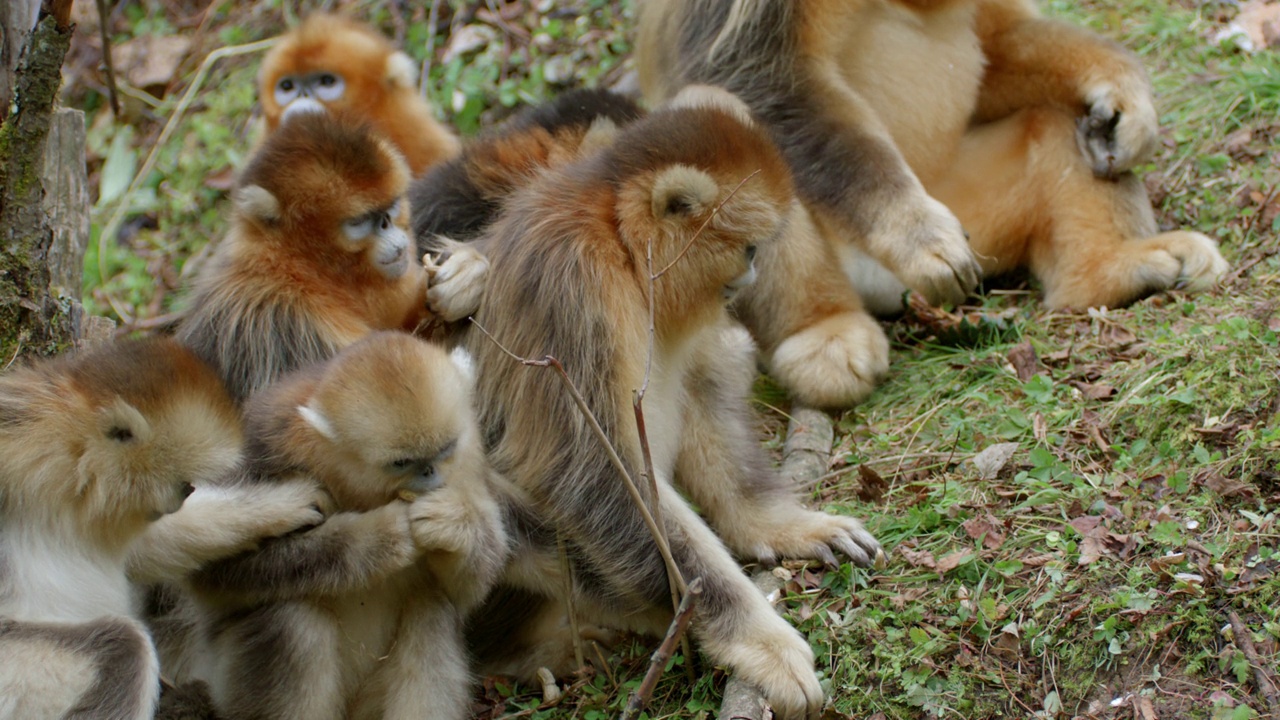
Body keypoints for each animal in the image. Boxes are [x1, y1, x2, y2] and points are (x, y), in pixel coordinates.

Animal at [186, 330, 506, 717]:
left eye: (446, 449)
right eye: (401, 462)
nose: (430, 474)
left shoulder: (469, 460)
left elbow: (468, 589)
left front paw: (451, 525)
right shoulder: (262, 443)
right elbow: (213, 570)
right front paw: (379, 538)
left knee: (431, 612)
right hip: (228, 682)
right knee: (294, 620)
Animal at [465, 95, 885, 717]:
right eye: (749, 248)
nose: (751, 274)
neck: (614, 239)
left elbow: (697, 396)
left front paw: (780, 525)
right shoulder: (572, 288)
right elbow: (592, 479)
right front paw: (759, 641)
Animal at [640, 0, 1228, 313]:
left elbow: (999, 39)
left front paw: (1127, 100)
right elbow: (758, 74)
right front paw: (919, 239)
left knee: (1049, 122)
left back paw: (1113, 271)